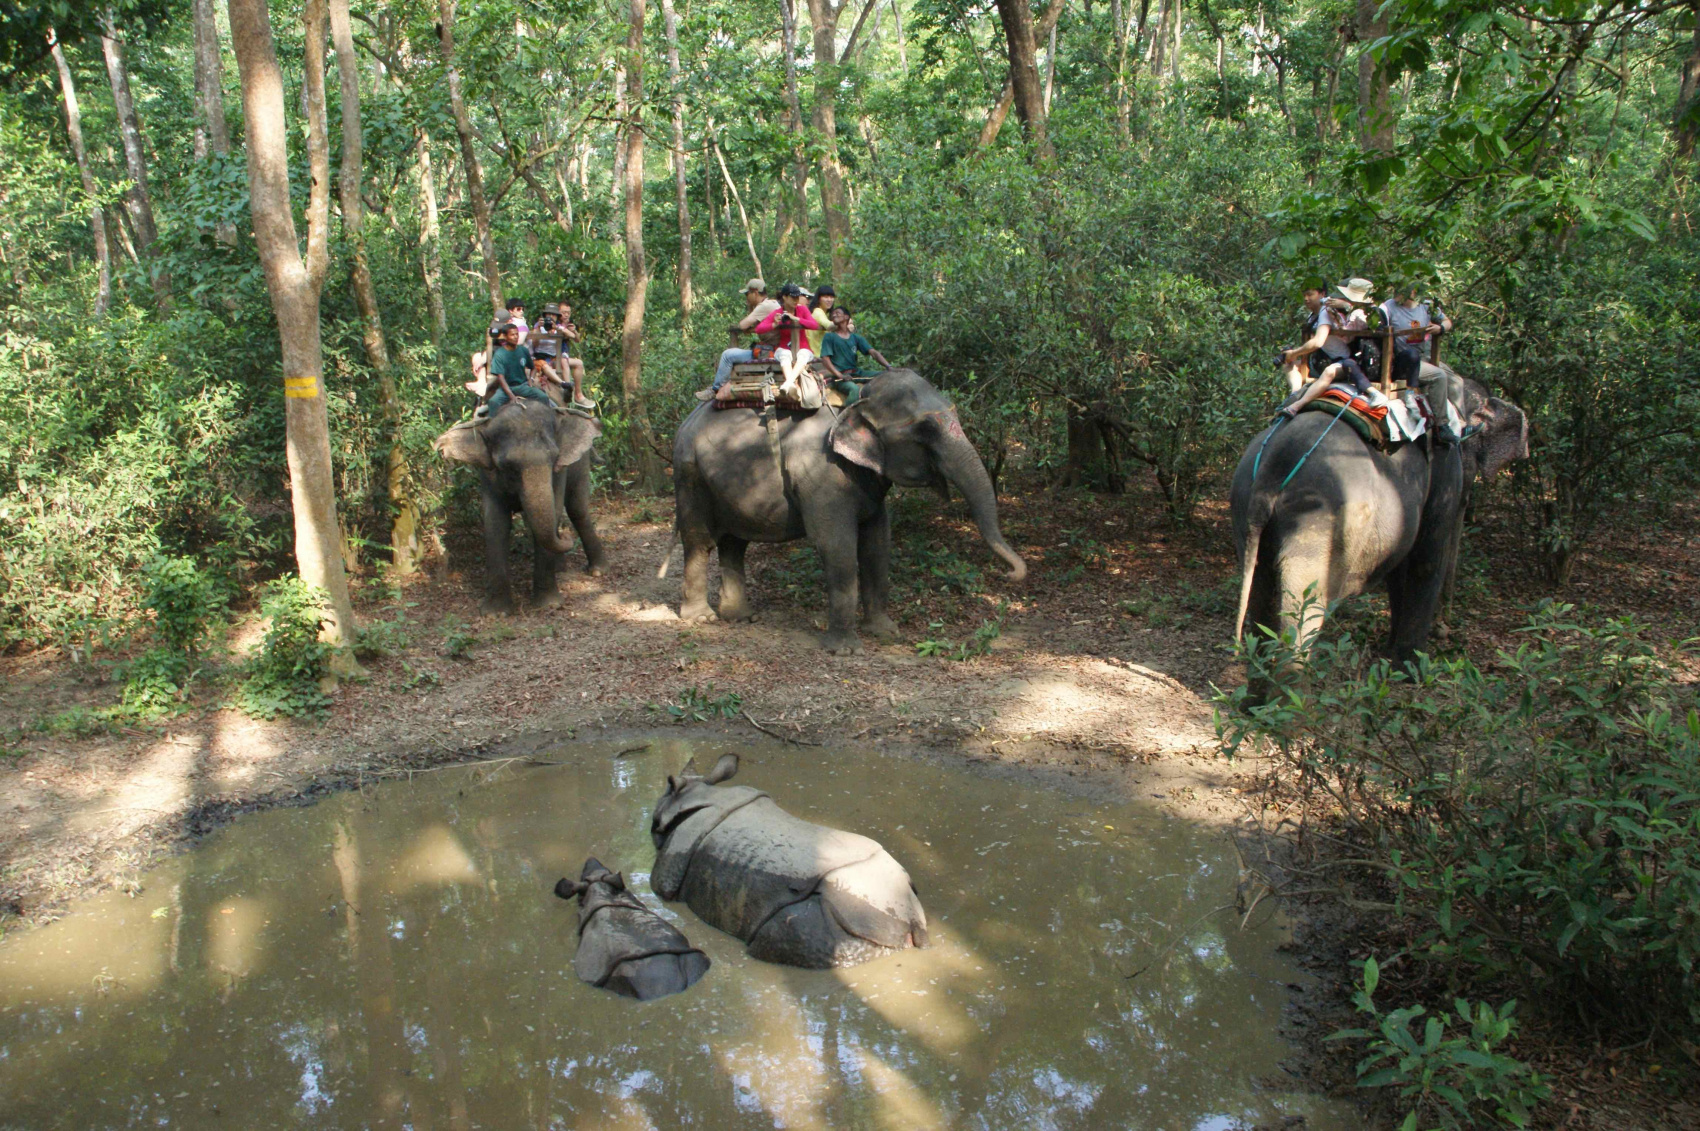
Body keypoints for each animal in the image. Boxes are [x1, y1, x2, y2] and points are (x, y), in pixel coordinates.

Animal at [435, 399, 608, 612]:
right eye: (507, 466)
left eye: (554, 458)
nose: (566, 536)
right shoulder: (487, 474)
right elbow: (496, 523)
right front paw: (495, 613)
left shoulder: (560, 469)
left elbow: (555, 508)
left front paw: (548, 604)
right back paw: (560, 567)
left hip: (580, 459)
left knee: (577, 508)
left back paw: (597, 570)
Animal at [649, 755, 931, 966]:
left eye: (654, 820)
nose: (652, 827)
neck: (701, 794)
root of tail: (913, 922)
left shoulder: (671, 866)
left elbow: (662, 884)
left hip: (844, 915)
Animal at [663, 369, 1020, 653]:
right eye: (925, 430)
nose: (1011, 574)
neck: (857, 398)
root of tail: (686, 421)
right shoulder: (821, 471)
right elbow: (837, 545)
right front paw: (846, 651)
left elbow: (878, 542)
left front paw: (885, 633)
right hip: (689, 475)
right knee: (699, 541)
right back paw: (702, 617)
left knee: (735, 543)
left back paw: (741, 617)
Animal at [1230, 365, 1536, 670]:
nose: (1444, 629)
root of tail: (1270, 471)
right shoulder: (1444, 468)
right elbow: (1425, 562)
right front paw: (1410, 668)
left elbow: (1401, 569)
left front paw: (1392, 654)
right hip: (1319, 519)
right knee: (1305, 605)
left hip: (1245, 502)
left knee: (1261, 587)